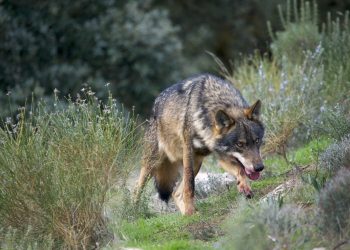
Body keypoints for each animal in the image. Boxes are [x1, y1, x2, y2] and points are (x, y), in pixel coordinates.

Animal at [134, 73, 266, 215]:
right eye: (240, 145)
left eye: (257, 141)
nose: (259, 167)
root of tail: (155, 105)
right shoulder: (188, 151)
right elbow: (190, 185)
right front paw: (190, 209)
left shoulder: (222, 155)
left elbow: (240, 170)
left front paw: (244, 187)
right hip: (153, 163)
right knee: (137, 188)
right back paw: (133, 211)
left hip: (197, 163)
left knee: (175, 193)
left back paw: (187, 214)